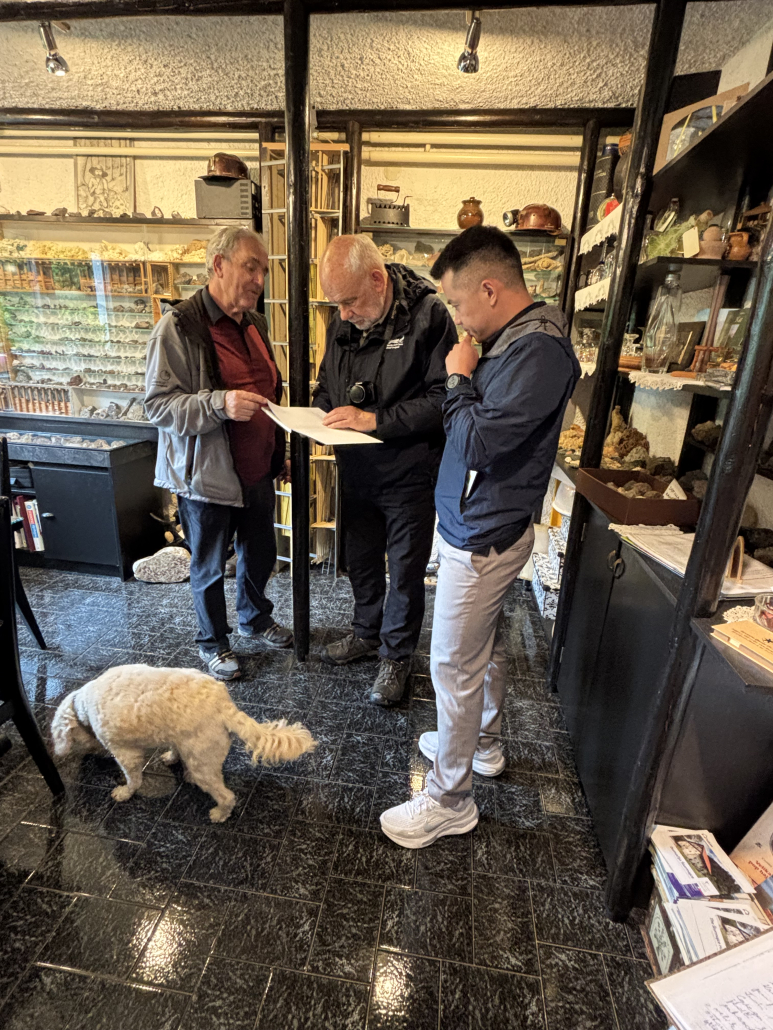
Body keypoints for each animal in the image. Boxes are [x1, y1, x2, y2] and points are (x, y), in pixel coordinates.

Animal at [50, 664, 317, 822]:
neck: (82, 706)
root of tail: (223, 705)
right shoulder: (176, 735)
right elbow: (174, 748)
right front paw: (171, 757)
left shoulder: (126, 754)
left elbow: (133, 779)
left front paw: (124, 792)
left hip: (203, 765)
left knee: (226, 796)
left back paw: (220, 813)